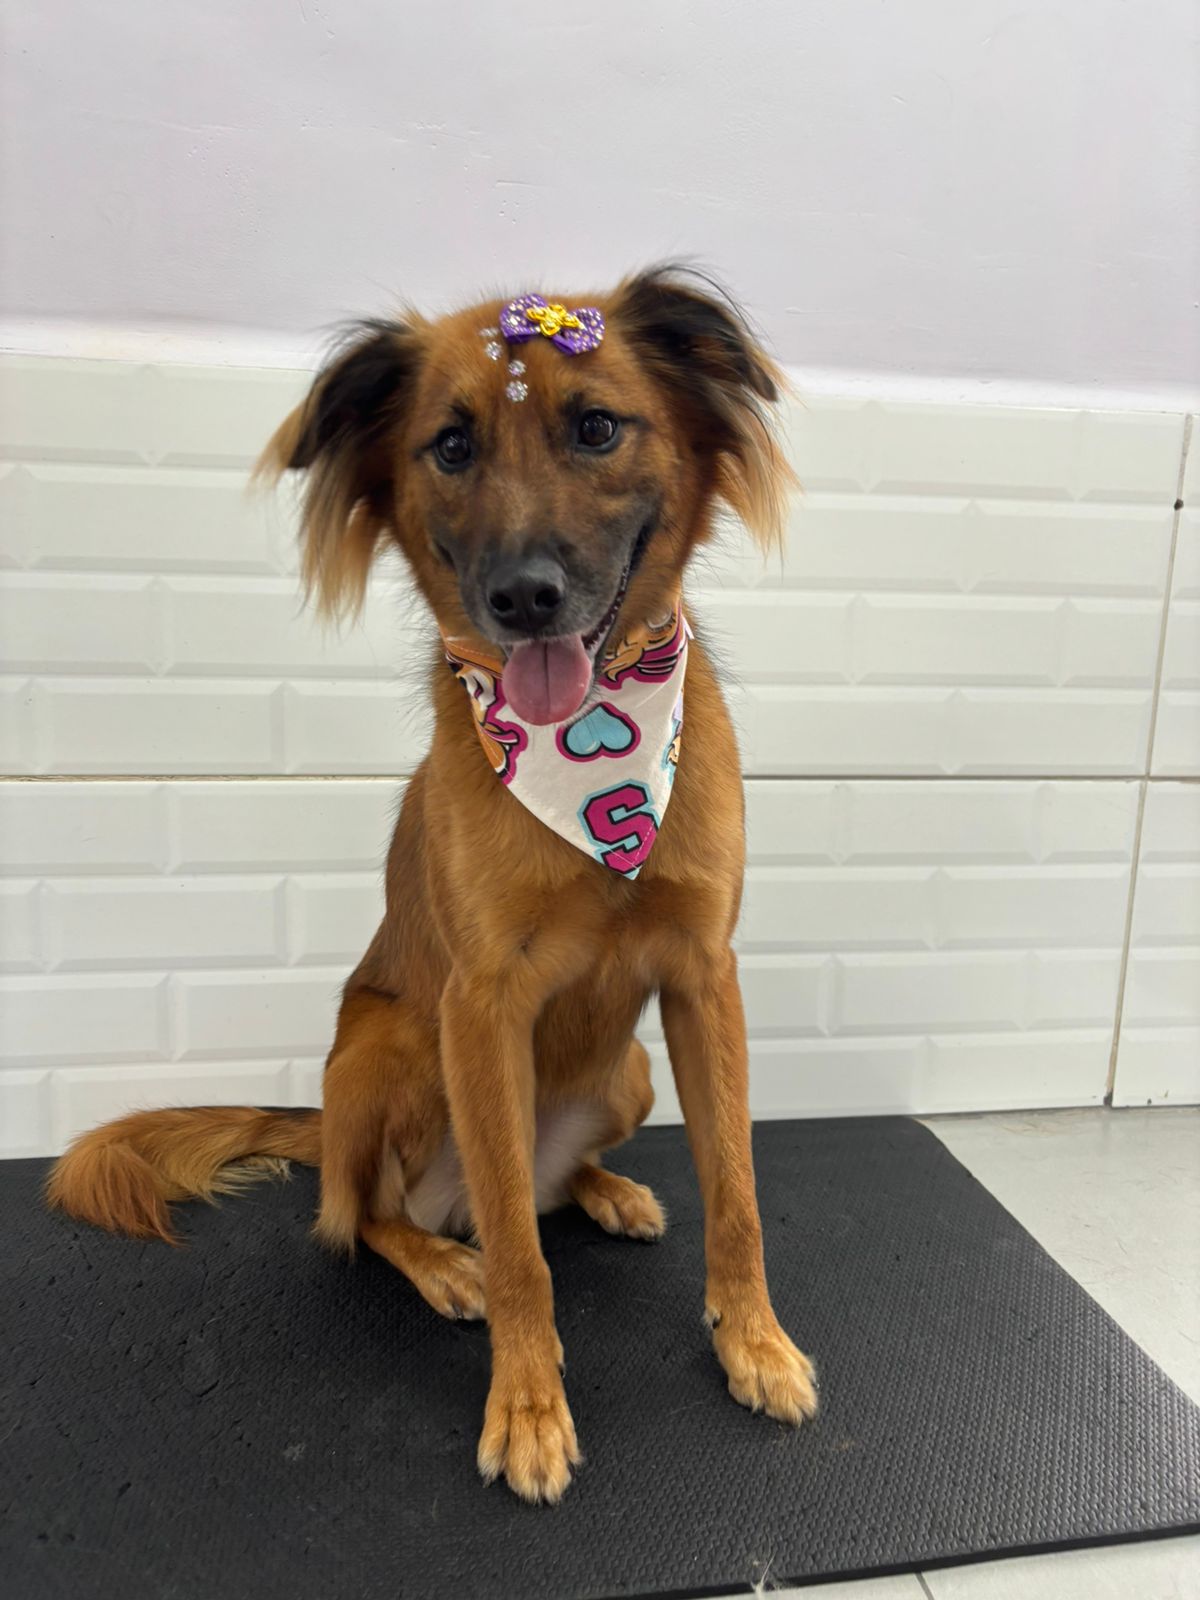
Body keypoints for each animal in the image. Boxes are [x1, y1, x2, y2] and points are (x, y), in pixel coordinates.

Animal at [47, 266, 819, 1503]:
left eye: (597, 427)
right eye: (450, 447)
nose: (524, 597)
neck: (590, 768)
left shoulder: (706, 978)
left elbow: (736, 1193)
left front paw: (755, 1341)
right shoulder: (480, 1008)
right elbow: (514, 1250)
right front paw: (529, 1404)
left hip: (630, 1072)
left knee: (548, 1186)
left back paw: (606, 1189)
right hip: (387, 1051)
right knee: (369, 1215)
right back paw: (439, 1259)